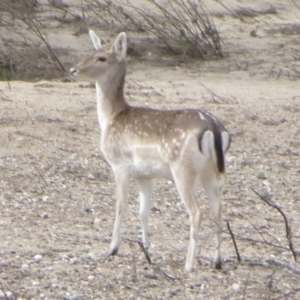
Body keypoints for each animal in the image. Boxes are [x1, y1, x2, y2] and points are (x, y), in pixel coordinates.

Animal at [69, 30, 230, 272]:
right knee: (218, 206)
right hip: (208, 171)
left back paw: (188, 265)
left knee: (197, 211)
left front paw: (112, 248)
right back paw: (217, 261)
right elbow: (143, 211)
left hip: (183, 170)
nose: (73, 70)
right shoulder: (145, 175)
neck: (110, 119)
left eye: (102, 57)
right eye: (91, 51)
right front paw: (146, 248)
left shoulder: (119, 164)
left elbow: (120, 206)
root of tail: (213, 128)